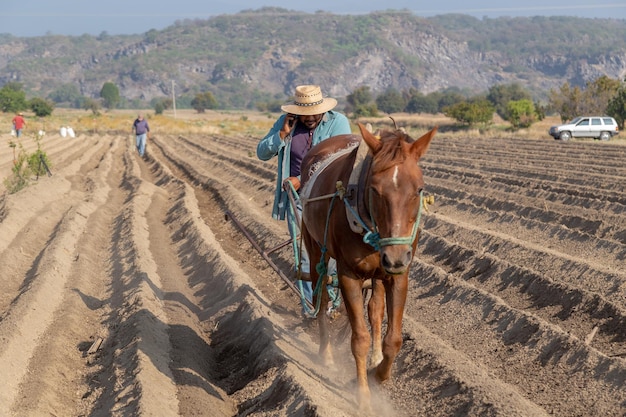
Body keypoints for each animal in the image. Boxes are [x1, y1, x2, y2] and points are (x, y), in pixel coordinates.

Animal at [298, 122, 434, 412]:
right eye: (374, 189)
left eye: (419, 189)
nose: (395, 257)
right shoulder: (349, 275)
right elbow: (359, 338)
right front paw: (362, 396)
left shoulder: (398, 275)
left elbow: (393, 339)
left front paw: (377, 373)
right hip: (315, 249)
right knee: (320, 295)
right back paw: (326, 353)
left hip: (381, 272)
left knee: (375, 308)